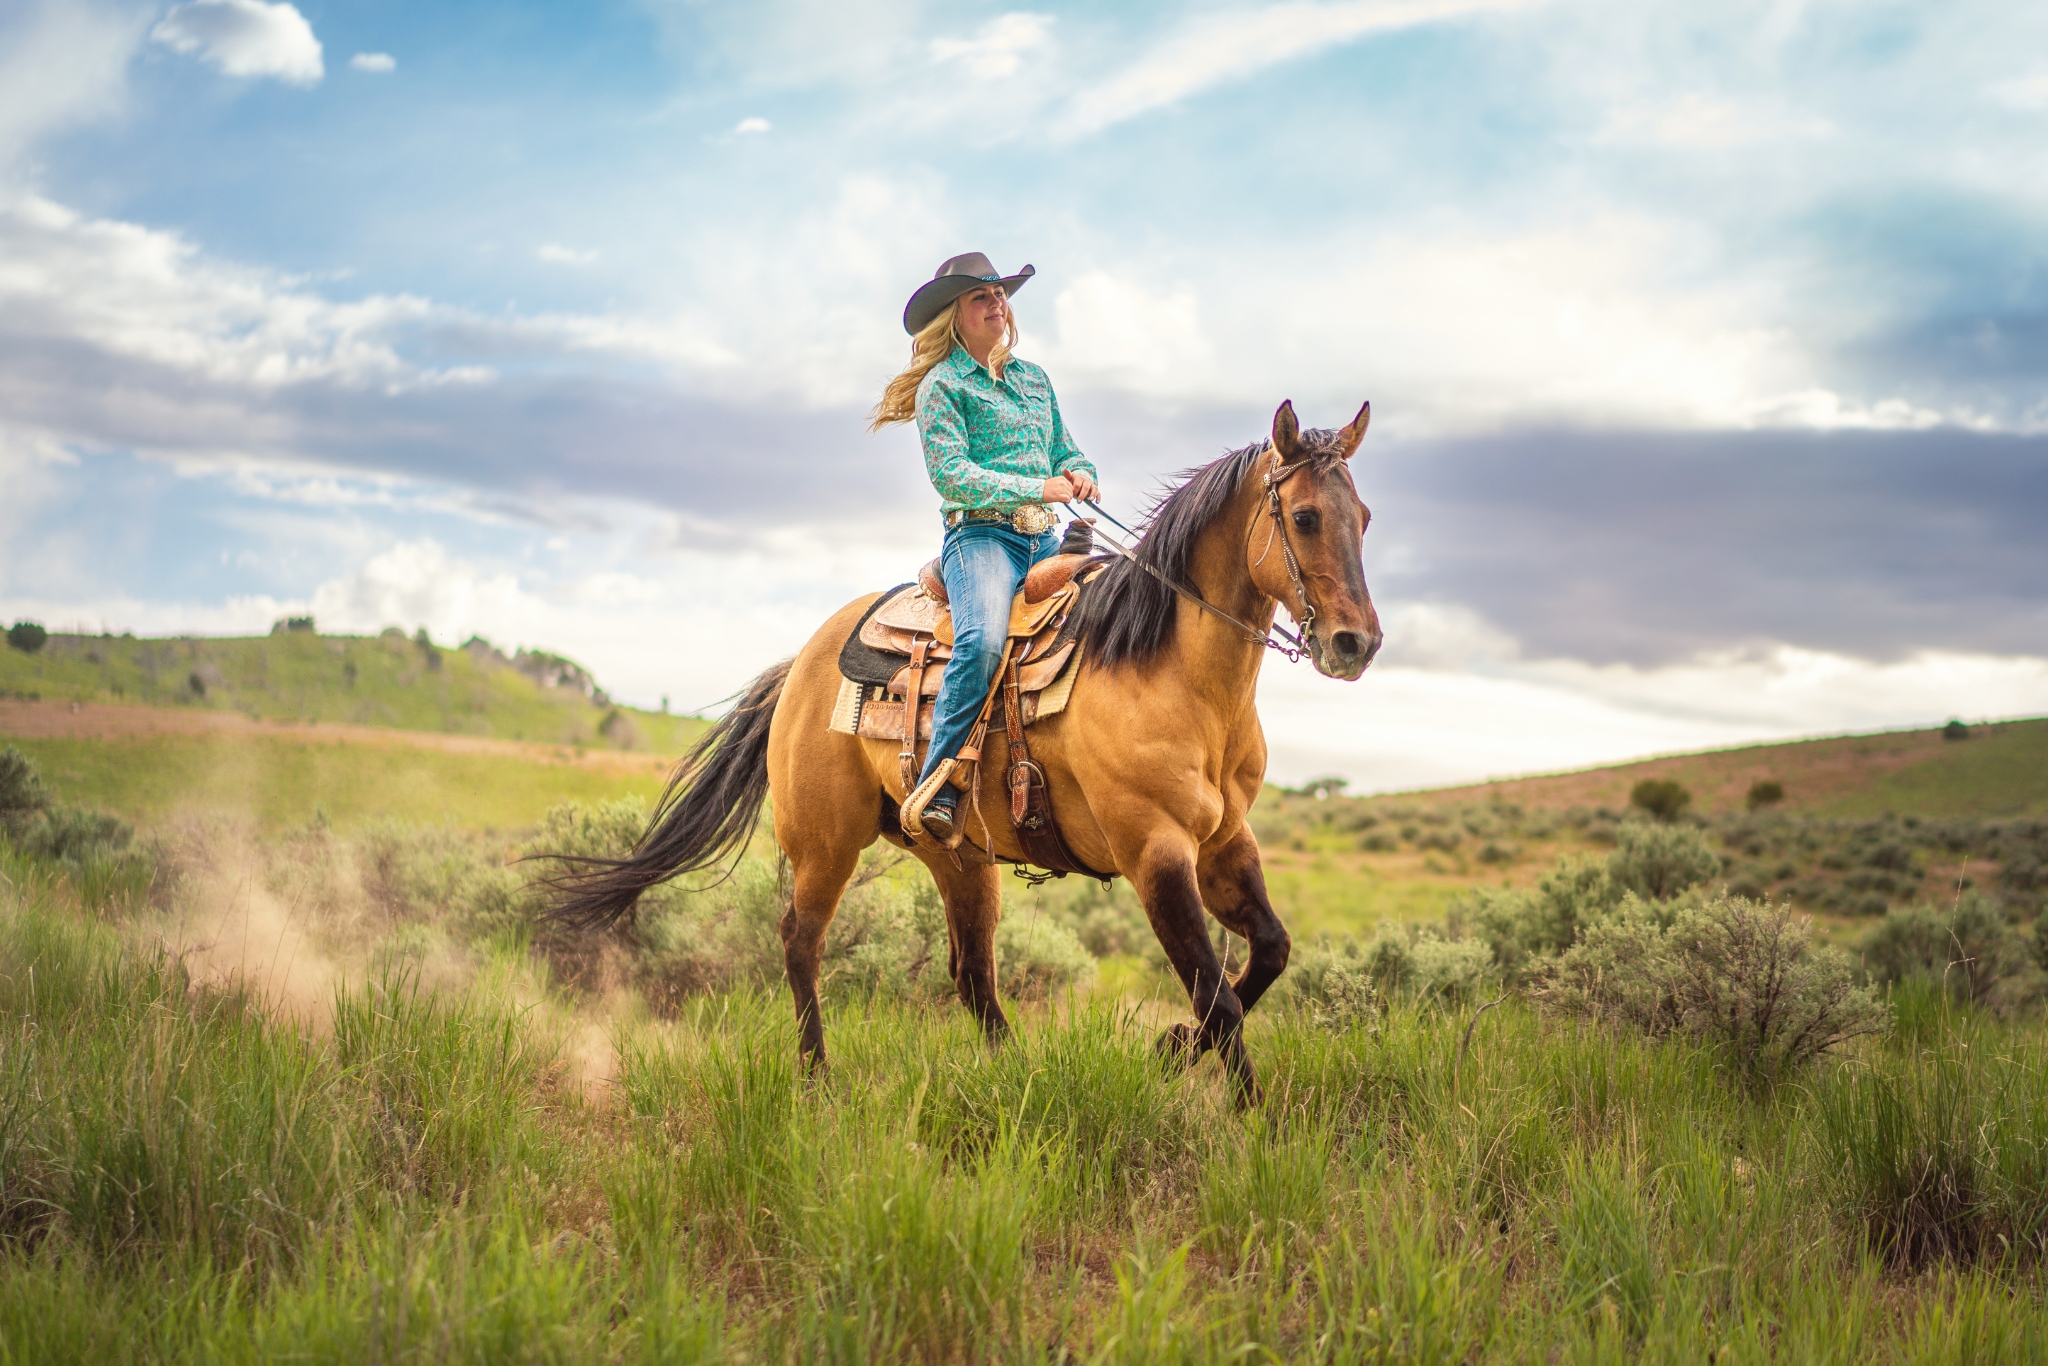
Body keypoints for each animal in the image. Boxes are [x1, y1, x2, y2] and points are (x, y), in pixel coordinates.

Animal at [546, 399, 1381, 1103]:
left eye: (1366, 518)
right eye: (1305, 516)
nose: (1357, 643)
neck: (1166, 670)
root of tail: (805, 662)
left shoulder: (1224, 841)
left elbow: (1267, 954)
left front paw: (1171, 1049)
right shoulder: (1155, 850)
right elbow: (1216, 994)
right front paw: (1247, 1119)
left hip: (960, 857)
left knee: (972, 973)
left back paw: (1017, 1076)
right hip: (825, 844)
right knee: (799, 942)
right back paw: (817, 1078)